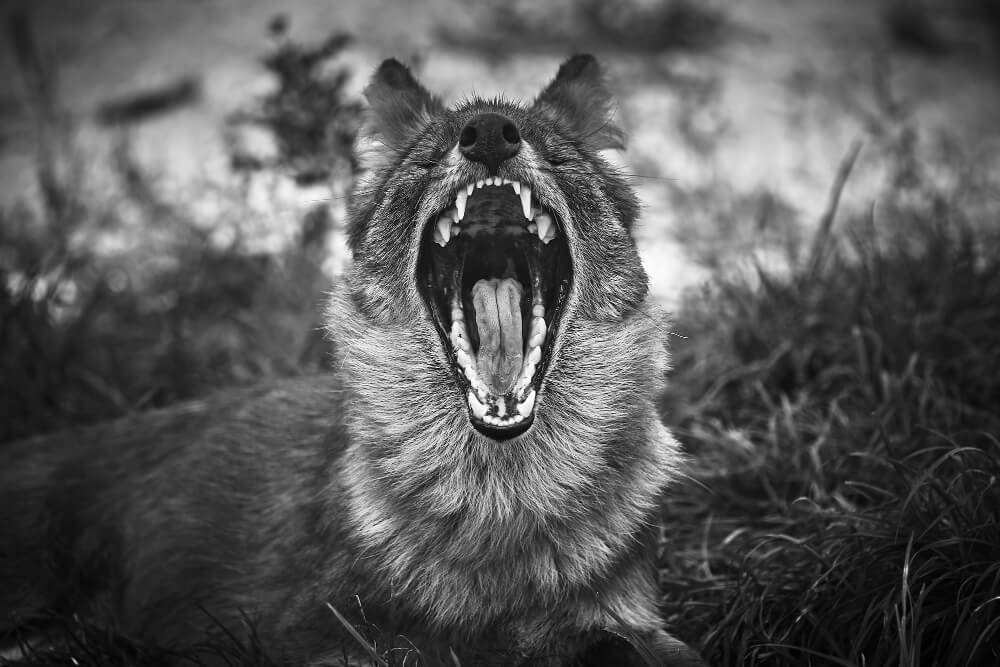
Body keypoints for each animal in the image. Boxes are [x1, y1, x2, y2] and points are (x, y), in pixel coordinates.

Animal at [0, 55, 706, 666]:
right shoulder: (322, 638)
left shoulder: (628, 618)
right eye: (427, 159)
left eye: (558, 157)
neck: (498, 508)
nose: (487, 134)